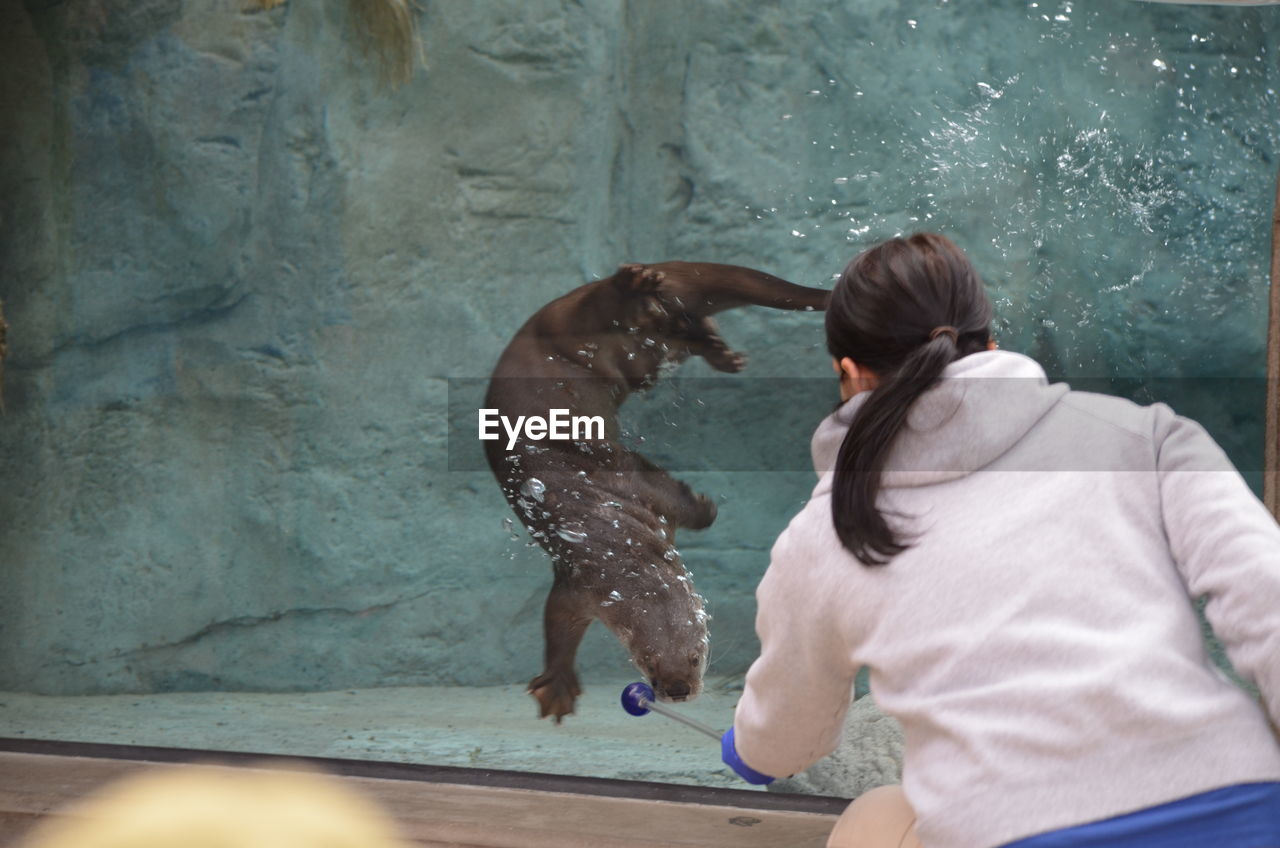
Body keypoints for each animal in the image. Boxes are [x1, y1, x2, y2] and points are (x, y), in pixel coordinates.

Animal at [481, 262, 829, 722]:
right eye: (647, 662)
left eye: (697, 655)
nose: (677, 689)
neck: (613, 543)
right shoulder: (580, 582)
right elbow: (558, 627)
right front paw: (556, 686)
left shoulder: (640, 501)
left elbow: (666, 491)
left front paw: (704, 505)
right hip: (611, 339)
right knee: (647, 320)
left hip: (596, 333)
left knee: (622, 309)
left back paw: (649, 292)